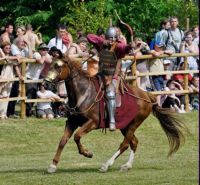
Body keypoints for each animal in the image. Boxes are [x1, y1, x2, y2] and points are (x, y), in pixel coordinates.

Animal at [44, 58, 188, 173]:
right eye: (50, 65)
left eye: (58, 66)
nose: (45, 83)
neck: (83, 93)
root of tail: (147, 96)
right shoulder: (71, 122)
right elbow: (63, 141)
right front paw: (53, 165)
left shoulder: (92, 122)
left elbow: (77, 136)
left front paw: (87, 153)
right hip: (125, 126)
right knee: (134, 143)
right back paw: (126, 166)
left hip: (134, 124)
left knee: (125, 144)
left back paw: (106, 165)